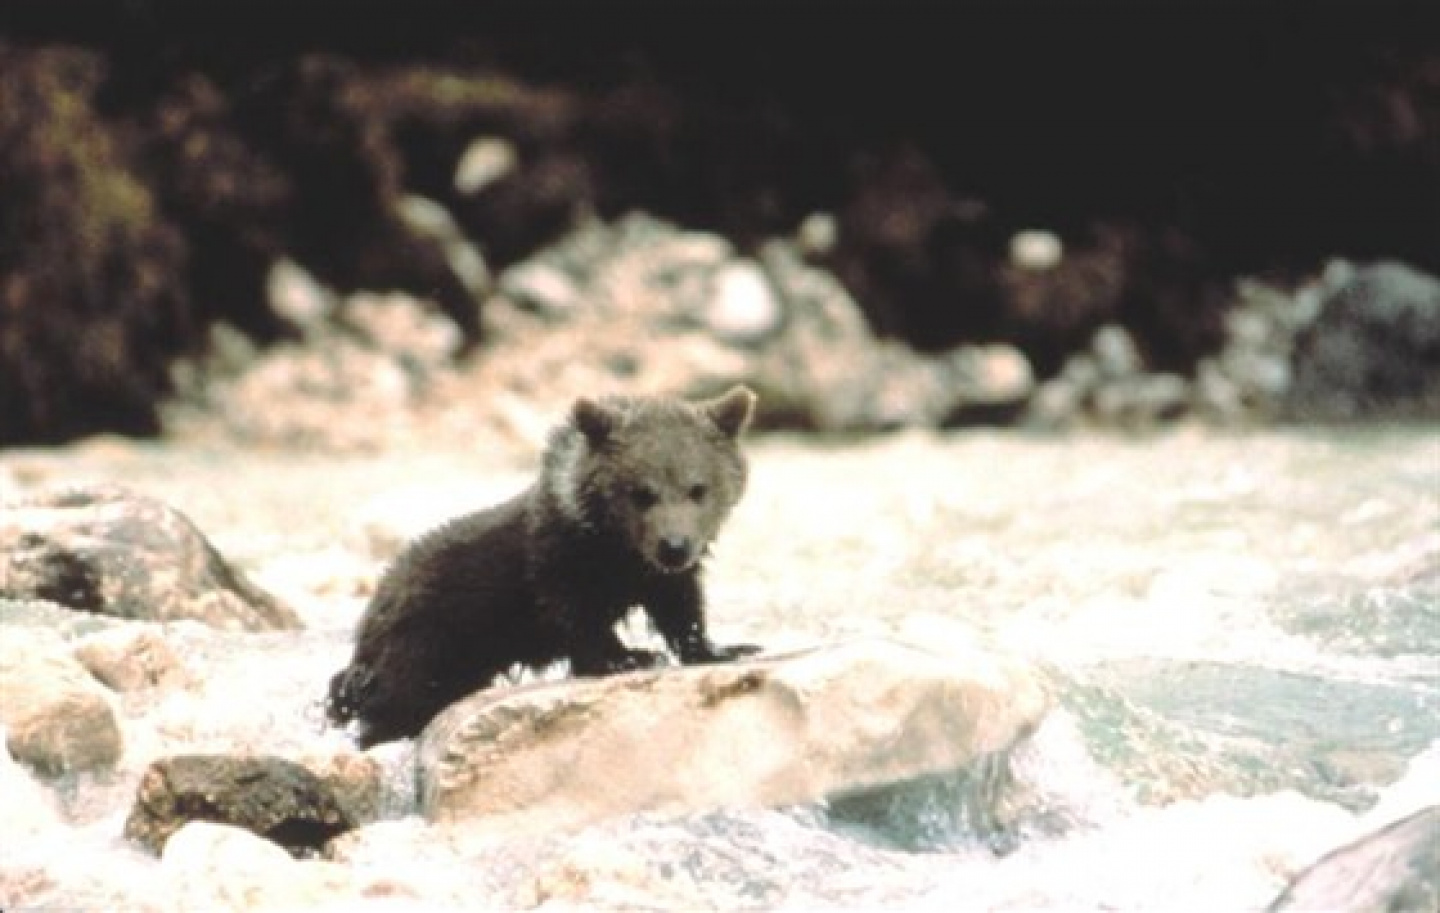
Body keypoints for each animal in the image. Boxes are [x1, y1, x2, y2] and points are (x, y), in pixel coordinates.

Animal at [325, 386, 761, 747]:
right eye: (641, 493)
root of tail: (368, 618)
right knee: (397, 700)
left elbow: (680, 607)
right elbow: (577, 617)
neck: (614, 547)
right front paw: (629, 656)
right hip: (424, 642)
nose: (674, 547)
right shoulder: (559, 561)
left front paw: (723, 648)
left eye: (698, 489)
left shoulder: (657, 574)